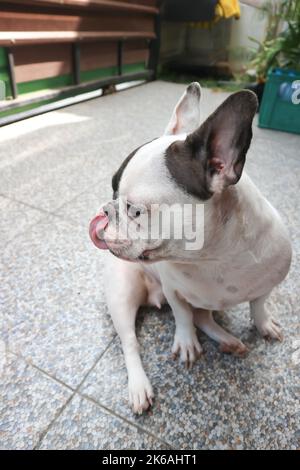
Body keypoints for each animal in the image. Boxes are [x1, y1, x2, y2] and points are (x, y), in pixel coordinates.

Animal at [88, 82, 290, 414]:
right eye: (113, 190)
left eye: (135, 211)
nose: (107, 211)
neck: (215, 257)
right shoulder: (174, 291)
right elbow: (182, 315)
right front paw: (185, 342)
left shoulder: (268, 282)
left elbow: (258, 304)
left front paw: (263, 323)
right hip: (121, 293)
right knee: (130, 341)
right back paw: (139, 386)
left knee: (204, 317)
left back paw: (228, 340)